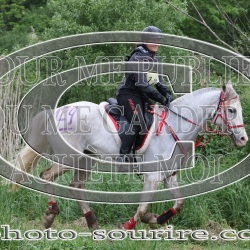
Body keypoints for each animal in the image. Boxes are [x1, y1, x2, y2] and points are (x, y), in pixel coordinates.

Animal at [13, 82, 248, 230]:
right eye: (232, 111)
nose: (243, 139)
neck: (176, 126)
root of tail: (57, 111)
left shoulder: (169, 176)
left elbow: (179, 203)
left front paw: (157, 219)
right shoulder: (152, 177)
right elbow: (143, 208)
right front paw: (128, 226)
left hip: (86, 159)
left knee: (75, 187)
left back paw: (92, 222)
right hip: (69, 158)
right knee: (47, 175)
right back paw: (50, 215)